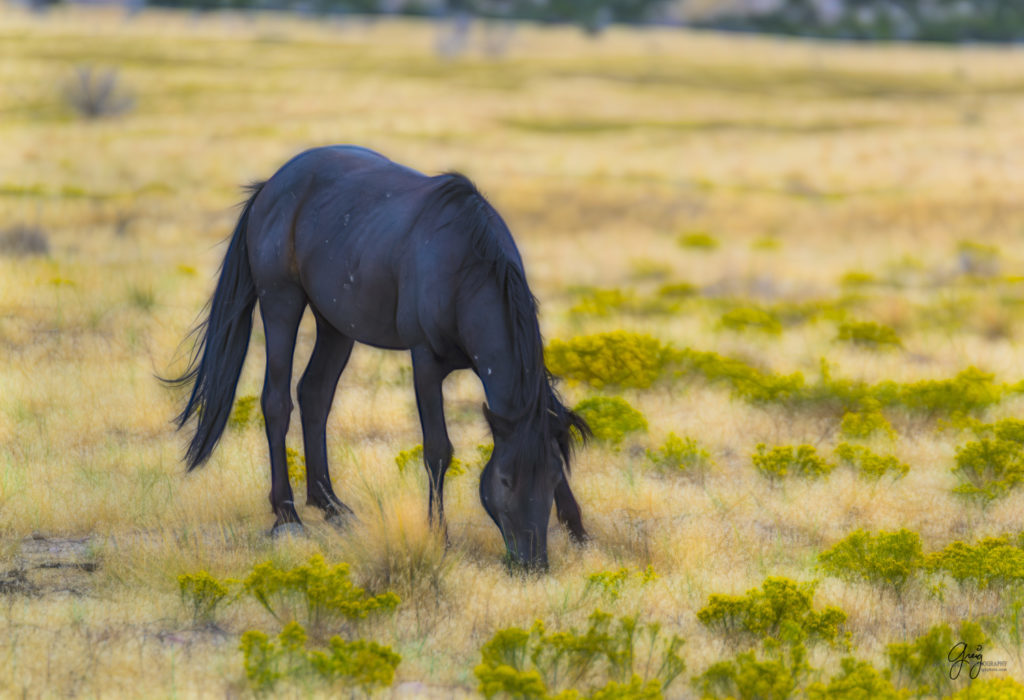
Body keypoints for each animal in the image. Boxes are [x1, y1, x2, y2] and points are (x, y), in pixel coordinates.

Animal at [166, 146, 589, 569]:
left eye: (552, 478)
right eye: (505, 480)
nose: (532, 562)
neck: (463, 271)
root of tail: (271, 186)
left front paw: (579, 531)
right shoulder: (425, 362)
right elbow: (438, 449)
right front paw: (439, 535)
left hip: (336, 325)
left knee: (314, 395)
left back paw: (330, 504)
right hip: (280, 301)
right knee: (277, 402)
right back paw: (287, 514)